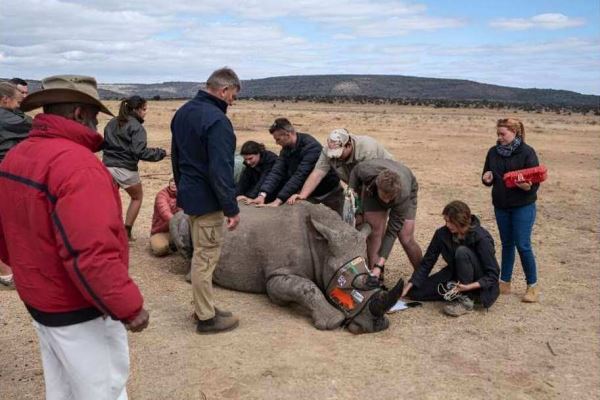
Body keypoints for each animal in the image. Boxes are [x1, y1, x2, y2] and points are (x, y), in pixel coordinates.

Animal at [171, 203, 404, 334]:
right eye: (347, 282)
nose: (377, 326)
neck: (321, 247)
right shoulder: (276, 275)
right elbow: (305, 287)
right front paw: (332, 322)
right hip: (182, 217)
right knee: (178, 226)